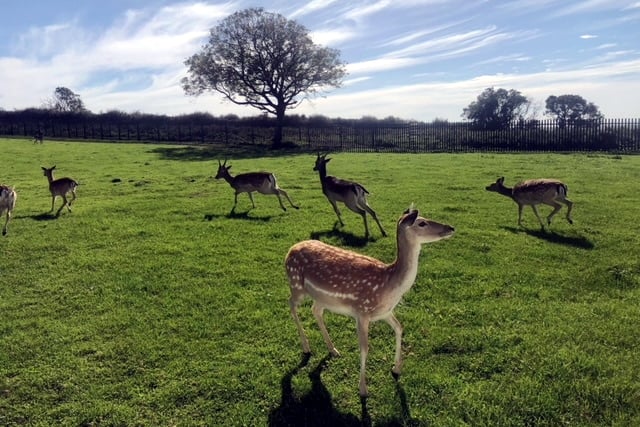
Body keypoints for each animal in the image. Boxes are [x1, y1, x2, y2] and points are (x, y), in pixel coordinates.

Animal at [285, 206, 455, 397]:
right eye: (422, 223)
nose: (450, 228)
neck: (388, 288)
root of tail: (290, 250)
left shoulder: (385, 312)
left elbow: (399, 328)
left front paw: (397, 369)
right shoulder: (362, 312)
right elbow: (365, 347)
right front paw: (363, 389)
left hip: (322, 298)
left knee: (315, 310)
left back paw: (333, 349)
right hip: (296, 284)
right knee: (291, 304)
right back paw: (306, 346)